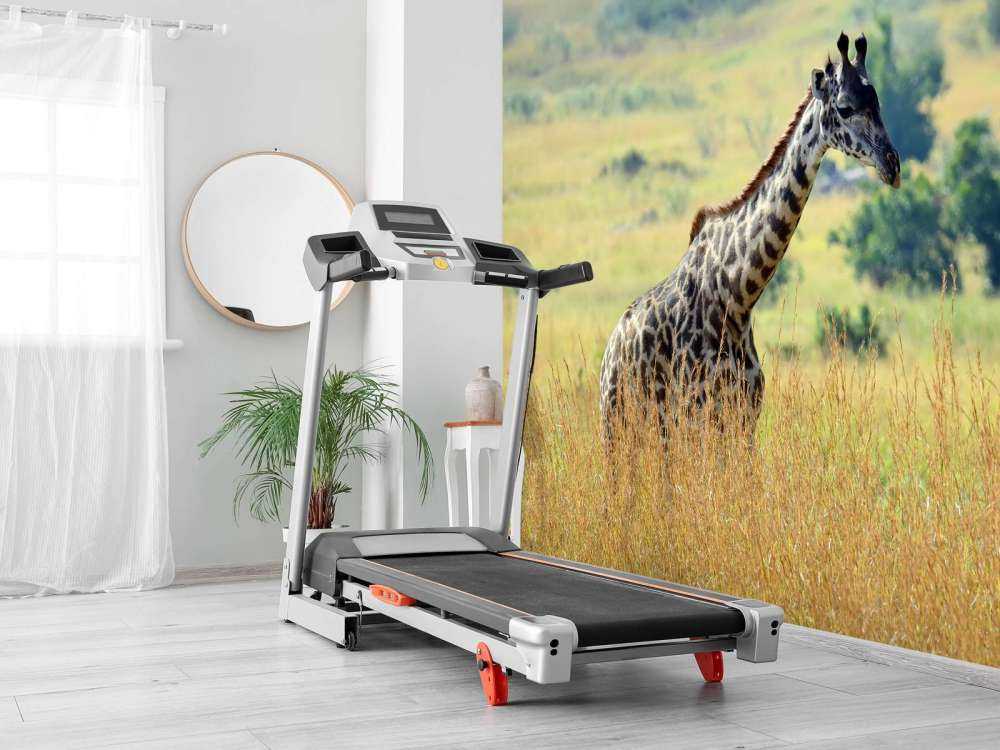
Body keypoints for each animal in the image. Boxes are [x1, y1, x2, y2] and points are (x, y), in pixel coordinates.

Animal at [600, 32, 901, 438]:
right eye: (845, 107)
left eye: (878, 101)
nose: (892, 165)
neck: (738, 296)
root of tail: (610, 353)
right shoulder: (697, 414)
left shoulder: (745, 417)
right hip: (625, 427)